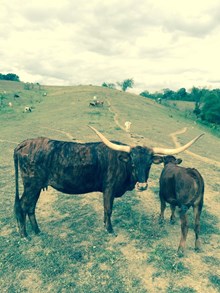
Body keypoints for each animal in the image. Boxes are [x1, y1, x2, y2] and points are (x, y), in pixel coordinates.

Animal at [12, 125, 204, 237]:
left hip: (36, 186)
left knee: (30, 207)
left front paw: (106, 226)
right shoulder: (109, 188)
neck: (122, 164)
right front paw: (110, 229)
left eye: (149, 163)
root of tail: (24, 144)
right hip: (32, 185)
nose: (142, 185)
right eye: (133, 162)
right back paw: (25, 235)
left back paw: (37, 231)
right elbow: (108, 209)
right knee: (22, 206)